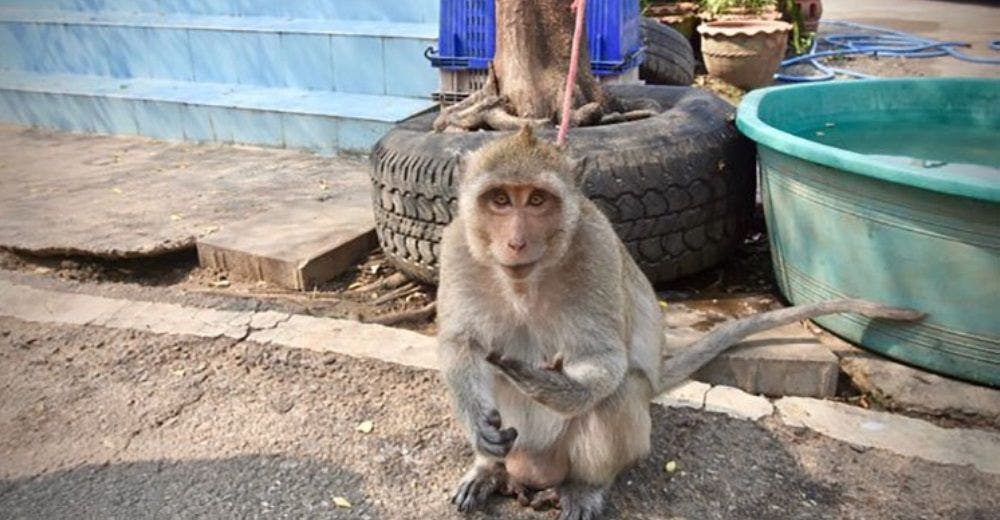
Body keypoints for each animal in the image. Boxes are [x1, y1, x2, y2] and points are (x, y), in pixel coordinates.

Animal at [434, 126, 916, 520]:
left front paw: (551, 385)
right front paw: (479, 427)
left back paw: (586, 487)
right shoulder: (456, 247)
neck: (526, 281)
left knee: (619, 391)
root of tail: (533, 474)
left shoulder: (595, 250)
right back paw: (489, 469)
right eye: (500, 199)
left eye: (536, 200)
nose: (516, 242)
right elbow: (460, 345)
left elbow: (604, 360)